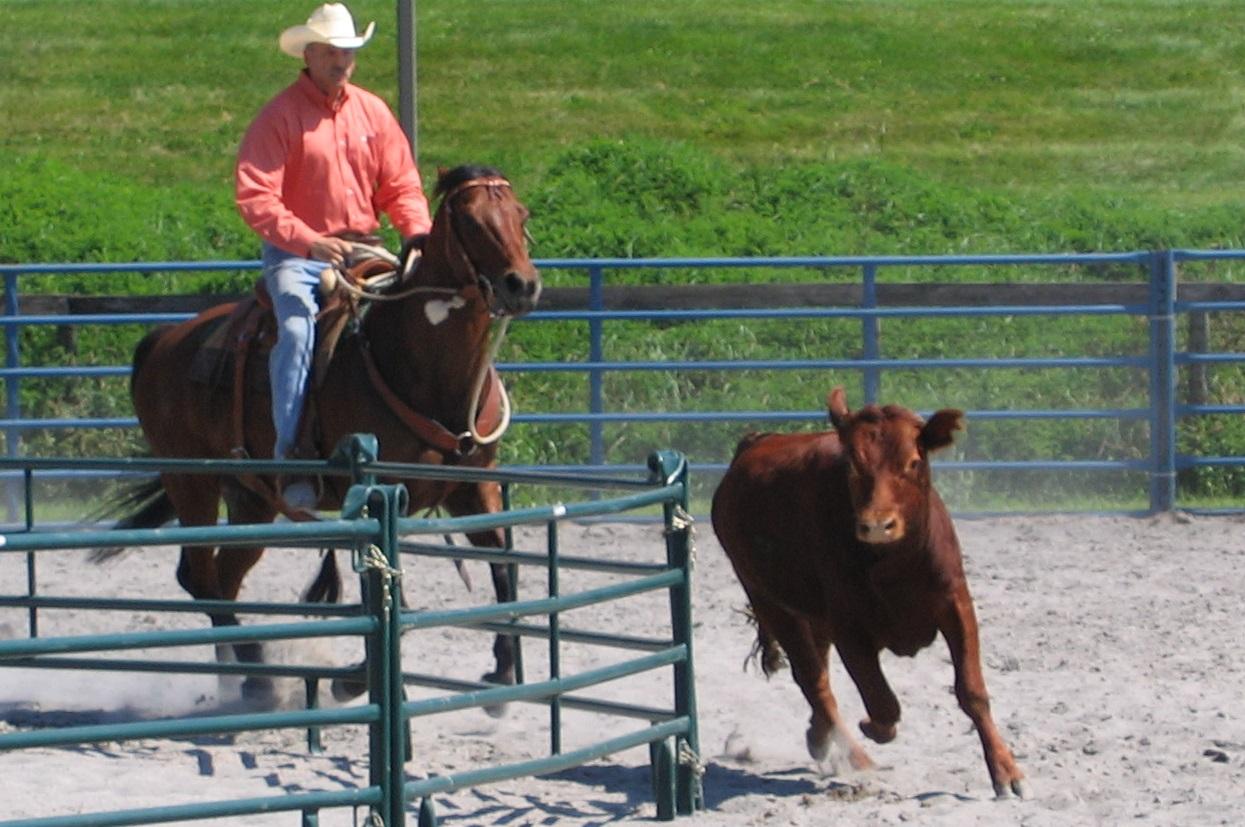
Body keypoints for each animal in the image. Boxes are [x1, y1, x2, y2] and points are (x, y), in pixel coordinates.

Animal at [102, 164, 541, 702]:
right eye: (473, 222)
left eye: (521, 215)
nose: (522, 285)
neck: (422, 363)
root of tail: (163, 339)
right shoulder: (381, 490)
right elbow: (388, 583)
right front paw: (360, 679)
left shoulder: (473, 486)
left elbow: (504, 564)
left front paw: (504, 667)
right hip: (191, 481)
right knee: (200, 576)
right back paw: (256, 677)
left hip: (251, 497)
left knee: (223, 576)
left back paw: (243, 677)